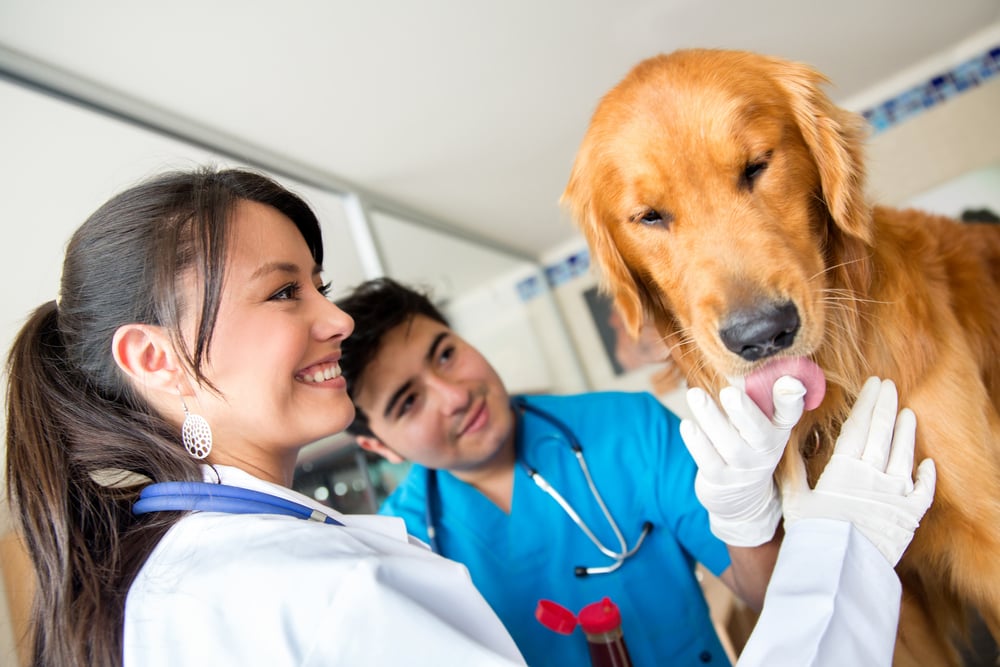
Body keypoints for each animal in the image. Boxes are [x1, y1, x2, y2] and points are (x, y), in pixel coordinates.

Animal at [564, 49, 1000, 664]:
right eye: (649, 216)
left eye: (756, 167)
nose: (763, 335)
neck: (840, 384)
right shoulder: (898, 602)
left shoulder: (989, 534)